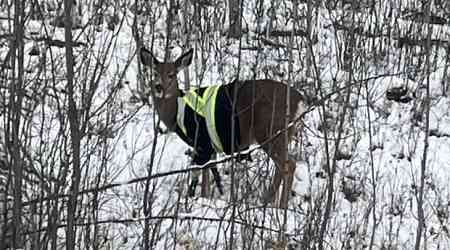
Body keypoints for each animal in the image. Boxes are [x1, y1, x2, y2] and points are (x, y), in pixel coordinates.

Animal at [140, 47, 306, 209]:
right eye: (155, 73)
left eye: (171, 74)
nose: (159, 87)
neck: (176, 112)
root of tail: (300, 101)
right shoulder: (209, 145)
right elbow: (209, 171)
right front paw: (207, 197)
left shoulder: (202, 141)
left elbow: (200, 171)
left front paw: (199, 199)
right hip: (281, 134)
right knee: (283, 166)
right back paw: (271, 202)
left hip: (269, 131)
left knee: (288, 165)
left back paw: (277, 205)